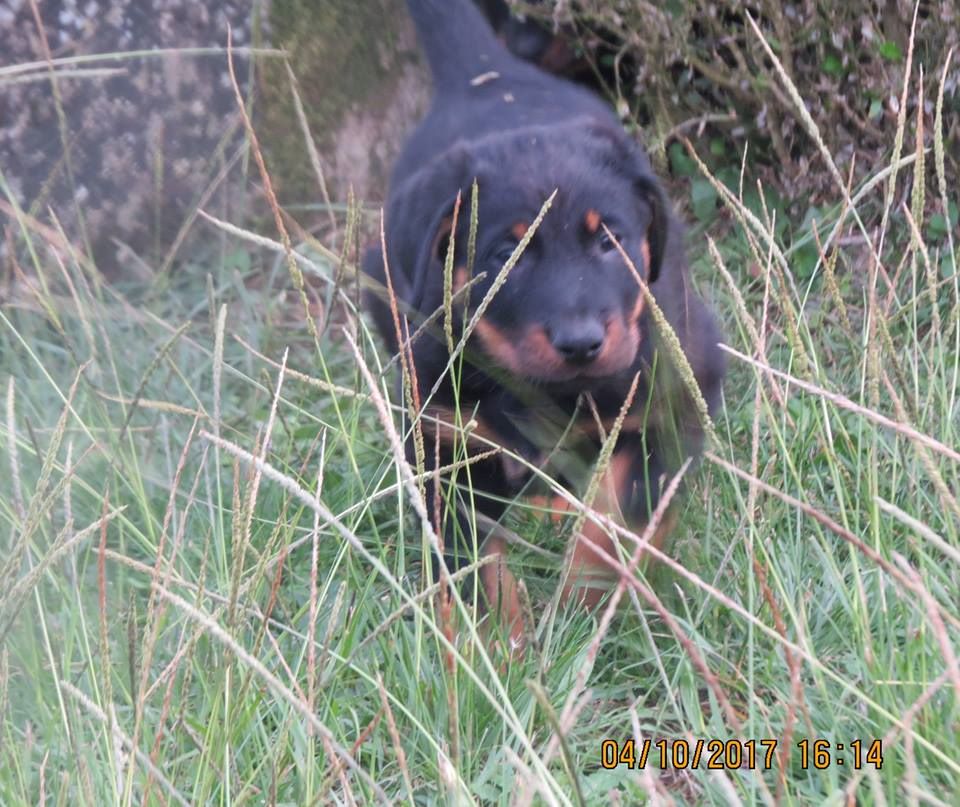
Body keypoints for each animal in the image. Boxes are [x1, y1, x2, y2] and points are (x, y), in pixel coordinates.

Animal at [363, 0, 724, 649]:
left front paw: (581, 608)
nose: (581, 343)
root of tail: (487, 74)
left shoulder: (673, 398)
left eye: (609, 240)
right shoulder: (443, 441)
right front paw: (494, 643)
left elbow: (619, 518)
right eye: (506, 255)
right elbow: (469, 557)